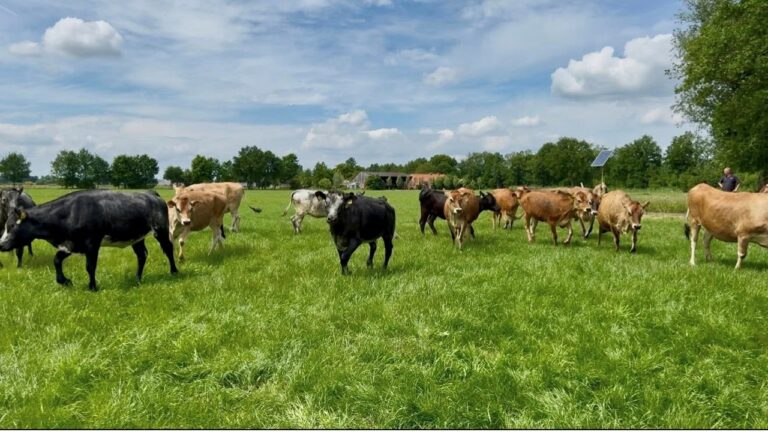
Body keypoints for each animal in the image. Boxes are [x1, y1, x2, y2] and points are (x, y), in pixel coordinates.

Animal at [0, 190, 178, 291]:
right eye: (6, 225)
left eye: (12, 226)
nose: (1, 244)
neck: (69, 213)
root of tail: (151, 194)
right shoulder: (72, 244)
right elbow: (56, 260)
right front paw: (65, 281)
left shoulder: (92, 243)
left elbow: (90, 266)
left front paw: (92, 287)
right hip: (136, 237)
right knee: (142, 255)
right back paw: (137, 278)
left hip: (161, 230)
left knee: (169, 249)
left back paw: (174, 271)